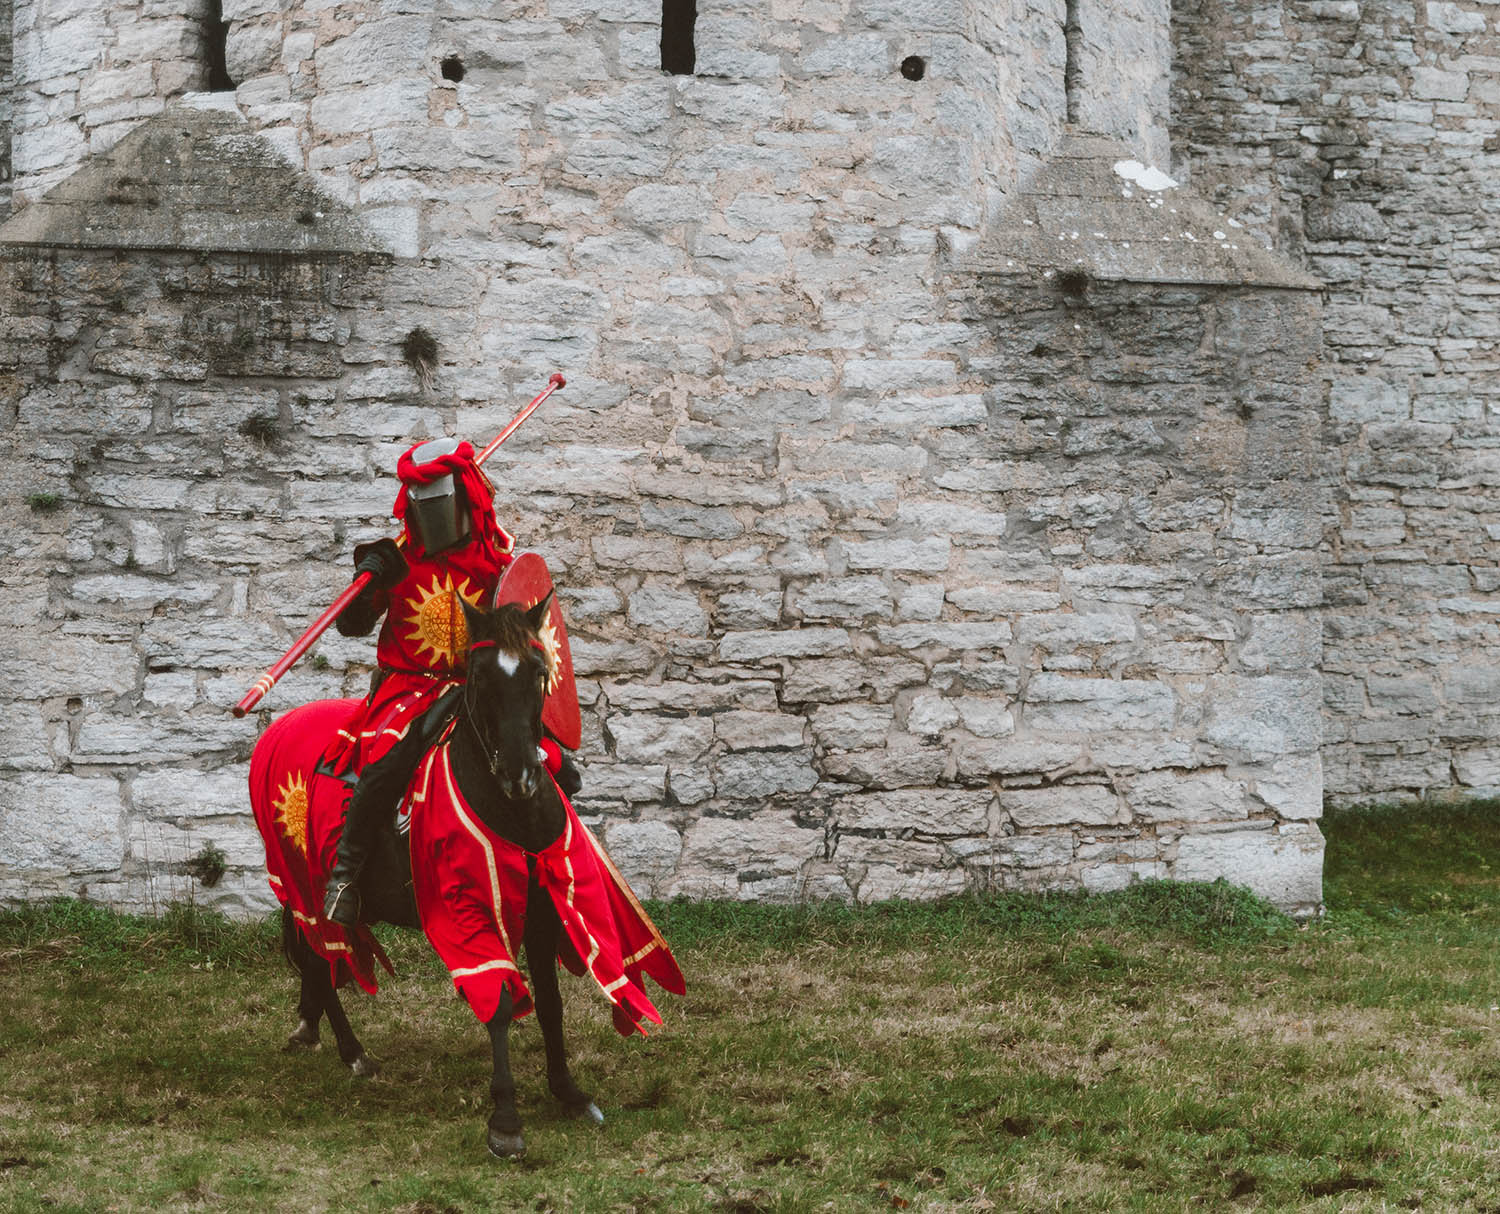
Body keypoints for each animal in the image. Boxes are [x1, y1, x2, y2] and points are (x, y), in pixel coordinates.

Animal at [255, 597, 618, 1158]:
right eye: (480, 676)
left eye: (540, 673)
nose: (519, 774)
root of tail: (277, 729)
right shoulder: (464, 910)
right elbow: (499, 998)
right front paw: (505, 1119)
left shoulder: (543, 908)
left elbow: (551, 1003)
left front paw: (569, 1092)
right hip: (304, 884)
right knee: (322, 950)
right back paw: (352, 1050)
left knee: (316, 959)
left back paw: (313, 1027)